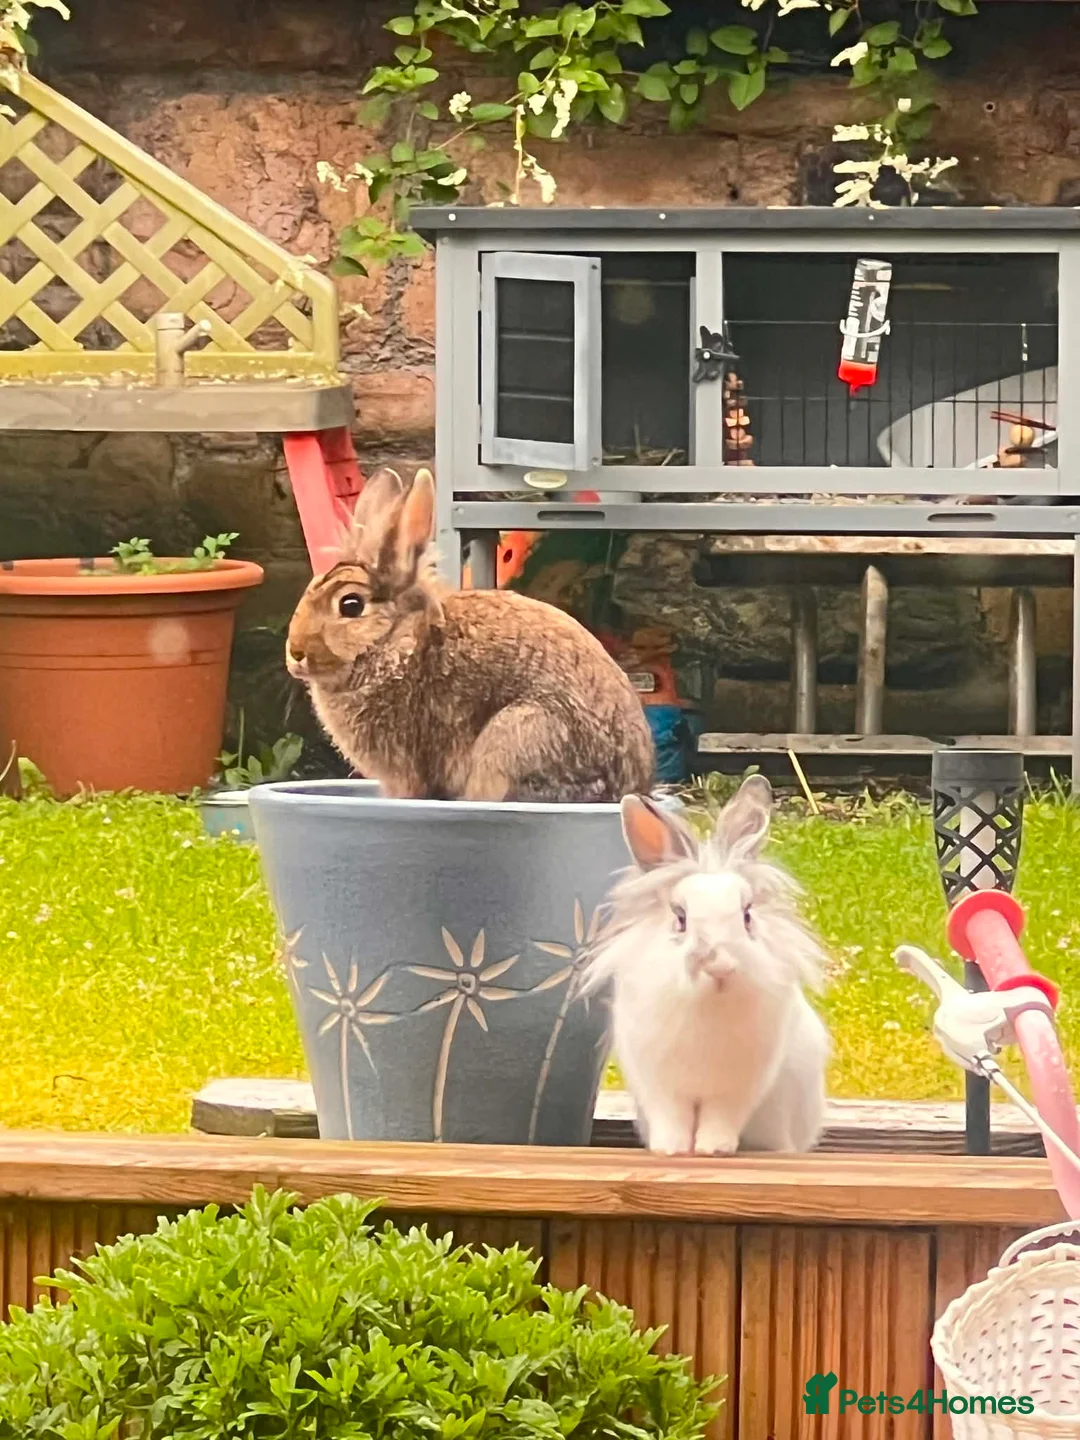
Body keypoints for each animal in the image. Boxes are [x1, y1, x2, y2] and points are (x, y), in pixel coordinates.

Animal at [286, 467, 655, 803]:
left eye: (350, 605)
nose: (295, 653)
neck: (397, 642)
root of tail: (629, 789)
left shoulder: (404, 770)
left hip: (518, 736)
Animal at [583, 776, 830, 1155]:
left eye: (747, 915)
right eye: (681, 918)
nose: (719, 964)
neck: (707, 1003)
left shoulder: (737, 1090)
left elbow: (720, 1119)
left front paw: (713, 1149)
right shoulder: (658, 1085)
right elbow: (672, 1118)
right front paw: (670, 1149)